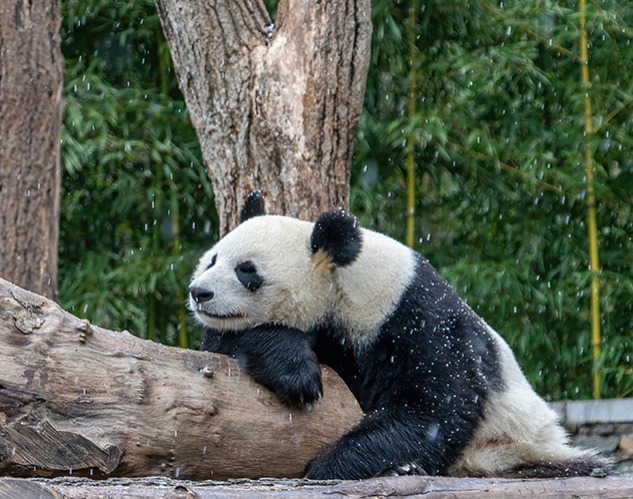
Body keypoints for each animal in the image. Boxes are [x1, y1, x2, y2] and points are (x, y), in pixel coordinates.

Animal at [190, 190, 608, 480]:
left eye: (247, 271)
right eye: (213, 259)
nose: (199, 292)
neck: (345, 285)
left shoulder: (415, 318)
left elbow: (433, 405)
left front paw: (330, 465)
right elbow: (229, 339)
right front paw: (297, 373)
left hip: (518, 443)